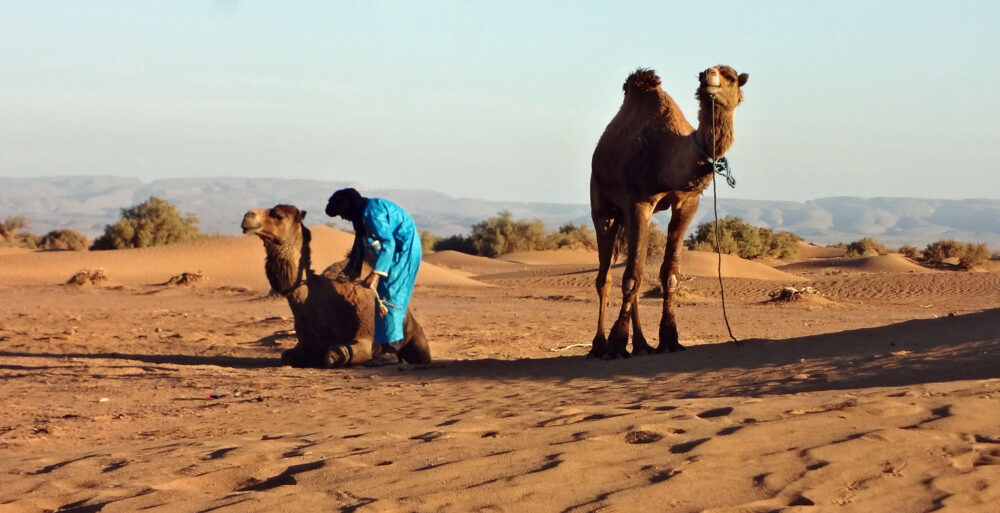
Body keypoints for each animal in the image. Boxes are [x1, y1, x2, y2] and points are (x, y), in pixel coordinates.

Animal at [243, 204, 434, 368]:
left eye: (278, 215)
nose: (247, 217)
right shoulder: (305, 343)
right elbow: (286, 356)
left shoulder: (364, 339)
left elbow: (333, 355)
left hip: (416, 340)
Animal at [588, 64, 748, 358]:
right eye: (704, 74)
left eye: (731, 77)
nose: (708, 75)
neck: (667, 159)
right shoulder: (639, 201)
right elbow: (631, 277)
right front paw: (617, 343)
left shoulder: (687, 202)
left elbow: (669, 274)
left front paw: (669, 339)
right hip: (602, 202)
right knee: (605, 277)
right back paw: (599, 346)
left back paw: (641, 344)